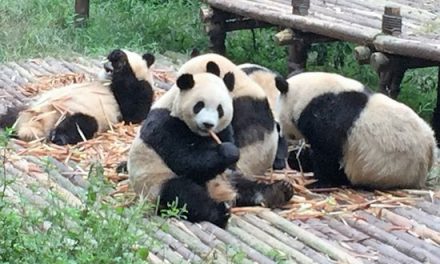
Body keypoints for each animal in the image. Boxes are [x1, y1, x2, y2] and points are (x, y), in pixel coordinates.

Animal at [0, 48, 155, 145]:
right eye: (108, 58)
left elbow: (133, 114)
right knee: (10, 115)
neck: (107, 82)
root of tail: (30, 125)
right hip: (28, 108)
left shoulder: (140, 89)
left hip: (75, 114)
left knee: (80, 124)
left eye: (120, 61)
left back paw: (59, 137)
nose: (110, 61)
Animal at [127, 71, 292, 227]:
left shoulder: (224, 129)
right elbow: (186, 161)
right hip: (156, 183)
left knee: (245, 185)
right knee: (183, 195)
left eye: (220, 109)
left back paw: (279, 191)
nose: (208, 124)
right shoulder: (165, 125)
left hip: (227, 178)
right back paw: (220, 213)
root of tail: (220, 192)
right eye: (199, 105)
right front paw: (228, 152)